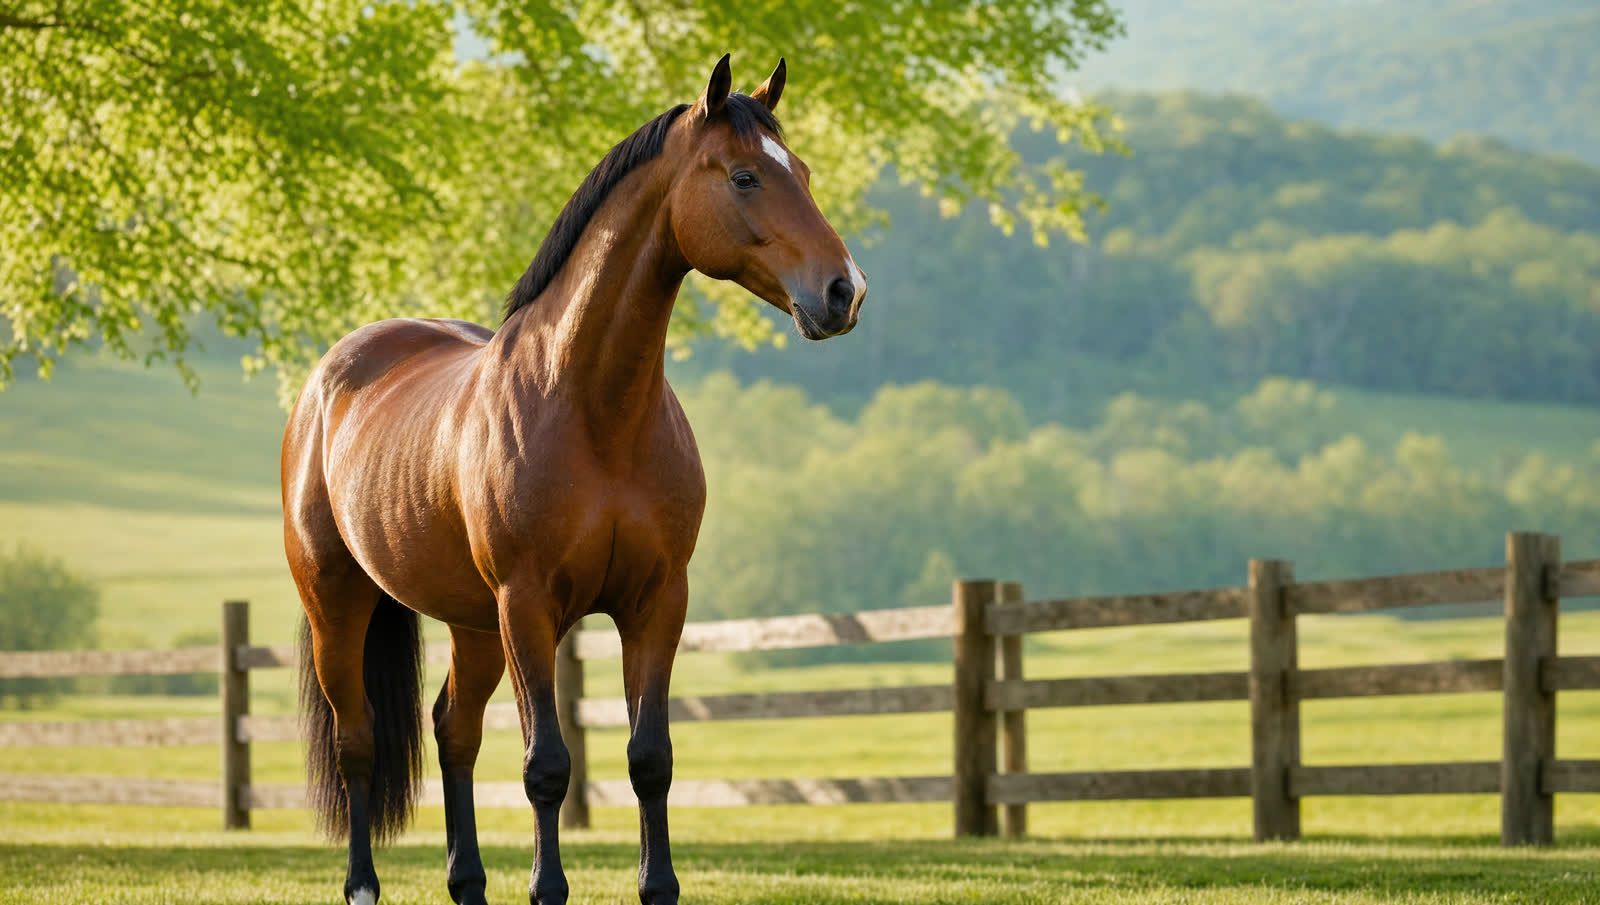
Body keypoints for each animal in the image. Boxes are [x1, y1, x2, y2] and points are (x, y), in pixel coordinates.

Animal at [281, 54, 865, 905]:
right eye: (746, 175)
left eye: (807, 172)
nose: (843, 291)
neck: (594, 408)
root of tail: (331, 376)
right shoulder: (529, 605)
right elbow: (546, 765)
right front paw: (546, 887)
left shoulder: (656, 602)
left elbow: (649, 758)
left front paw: (658, 886)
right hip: (341, 602)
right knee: (358, 740)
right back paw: (362, 884)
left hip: (472, 624)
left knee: (453, 729)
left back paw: (468, 882)